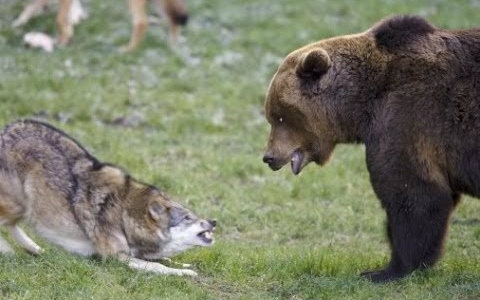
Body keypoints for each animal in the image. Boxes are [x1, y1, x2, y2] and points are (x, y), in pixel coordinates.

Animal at [260, 15, 480, 282]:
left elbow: (414, 193)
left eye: (279, 116)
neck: (362, 104)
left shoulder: (407, 118)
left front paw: (387, 270)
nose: (269, 157)